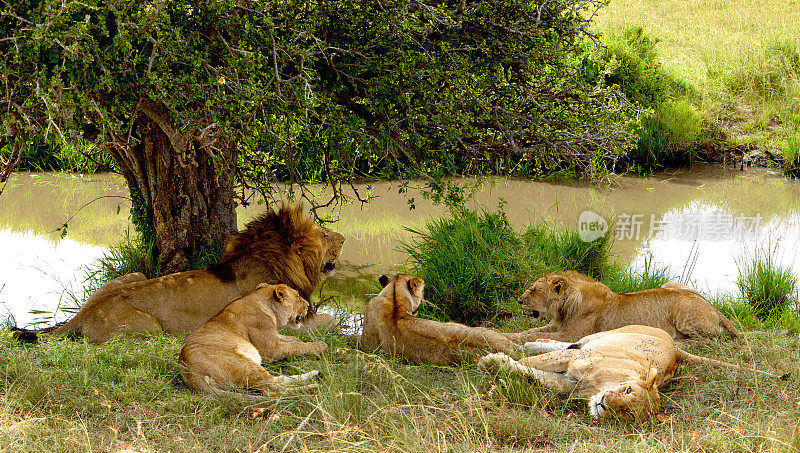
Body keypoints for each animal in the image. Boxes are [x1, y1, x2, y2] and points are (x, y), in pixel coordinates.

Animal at [22, 203, 344, 340]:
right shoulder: (284, 322)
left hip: (135, 276)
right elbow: (329, 321)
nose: (343, 238)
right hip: (151, 329)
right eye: (324, 234)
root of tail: (85, 314)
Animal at [180, 282, 326, 396]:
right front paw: (319, 345)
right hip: (245, 365)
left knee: (280, 380)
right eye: (299, 299)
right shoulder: (271, 350)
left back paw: (315, 374)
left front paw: (292, 338)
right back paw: (313, 388)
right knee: (274, 391)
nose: (308, 305)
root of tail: (189, 373)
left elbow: (288, 339)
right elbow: (296, 347)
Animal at [506, 268, 736, 342]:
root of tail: (716, 309)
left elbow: (533, 336)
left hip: (683, 305)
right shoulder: (557, 325)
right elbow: (531, 331)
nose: (518, 301)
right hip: (671, 284)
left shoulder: (571, 335)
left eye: (534, 290)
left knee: (709, 339)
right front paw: (509, 335)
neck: (564, 308)